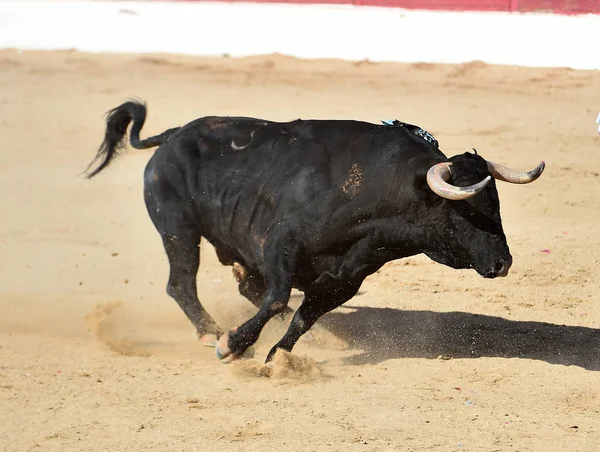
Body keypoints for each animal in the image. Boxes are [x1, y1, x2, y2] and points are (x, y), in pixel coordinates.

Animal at [86, 100, 548, 362]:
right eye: (466, 210)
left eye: (496, 205)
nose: (503, 263)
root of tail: (172, 135)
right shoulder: (280, 245)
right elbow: (277, 300)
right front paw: (232, 346)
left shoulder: (347, 276)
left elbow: (304, 315)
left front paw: (278, 358)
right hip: (178, 229)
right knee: (182, 284)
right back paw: (211, 334)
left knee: (244, 287)